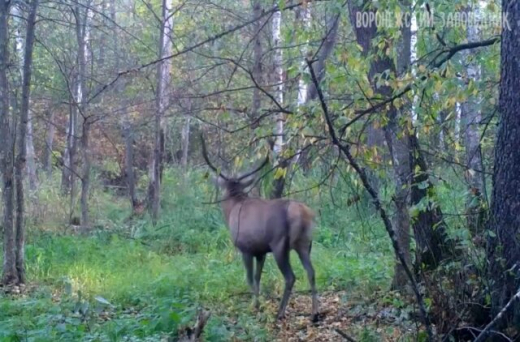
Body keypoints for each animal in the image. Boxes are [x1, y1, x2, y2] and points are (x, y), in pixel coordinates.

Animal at [201, 136, 318, 320]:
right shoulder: (261, 251)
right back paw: (315, 313)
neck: (232, 209)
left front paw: (254, 306)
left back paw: (280, 312)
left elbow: (249, 278)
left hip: (279, 244)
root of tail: (302, 213)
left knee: (290, 277)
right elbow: (257, 278)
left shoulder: (246, 248)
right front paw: (258, 303)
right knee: (311, 272)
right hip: (306, 243)